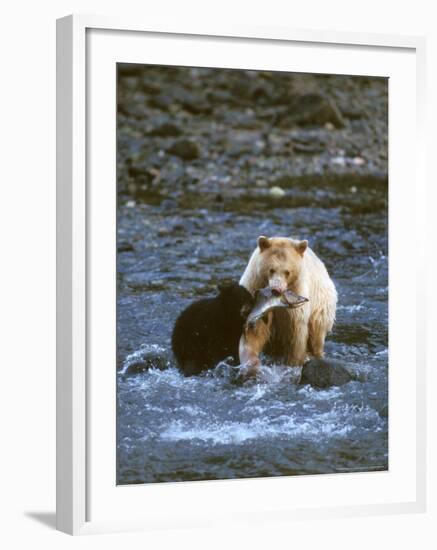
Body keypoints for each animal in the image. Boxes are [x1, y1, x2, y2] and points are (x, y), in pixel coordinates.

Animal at [240, 235, 336, 374]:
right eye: (271, 270)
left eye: (287, 272)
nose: (276, 289)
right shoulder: (254, 287)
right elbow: (255, 332)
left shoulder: (297, 295)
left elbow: (296, 335)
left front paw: (293, 364)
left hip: (321, 303)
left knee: (317, 332)